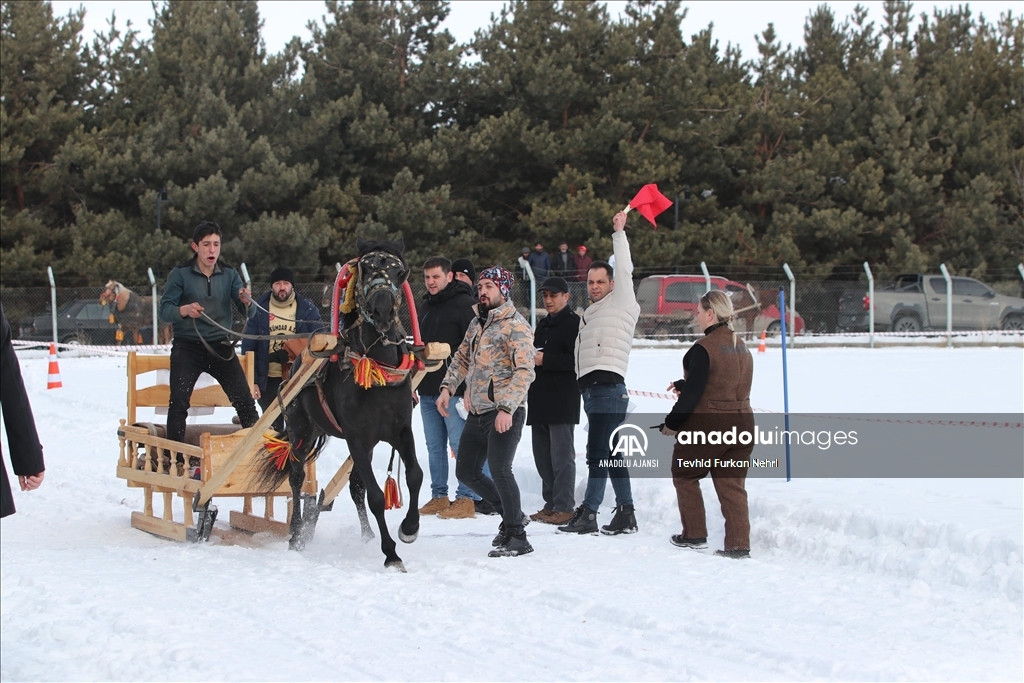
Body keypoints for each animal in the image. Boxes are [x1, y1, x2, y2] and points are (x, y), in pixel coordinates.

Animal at [258, 240, 421, 573]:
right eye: (366, 269)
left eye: (399, 272)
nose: (382, 311)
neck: (377, 368)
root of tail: (295, 365)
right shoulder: (357, 438)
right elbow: (376, 496)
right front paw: (391, 553)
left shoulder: (400, 431)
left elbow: (414, 475)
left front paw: (408, 529)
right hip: (301, 430)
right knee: (296, 477)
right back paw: (296, 534)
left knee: (355, 485)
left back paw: (366, 534)